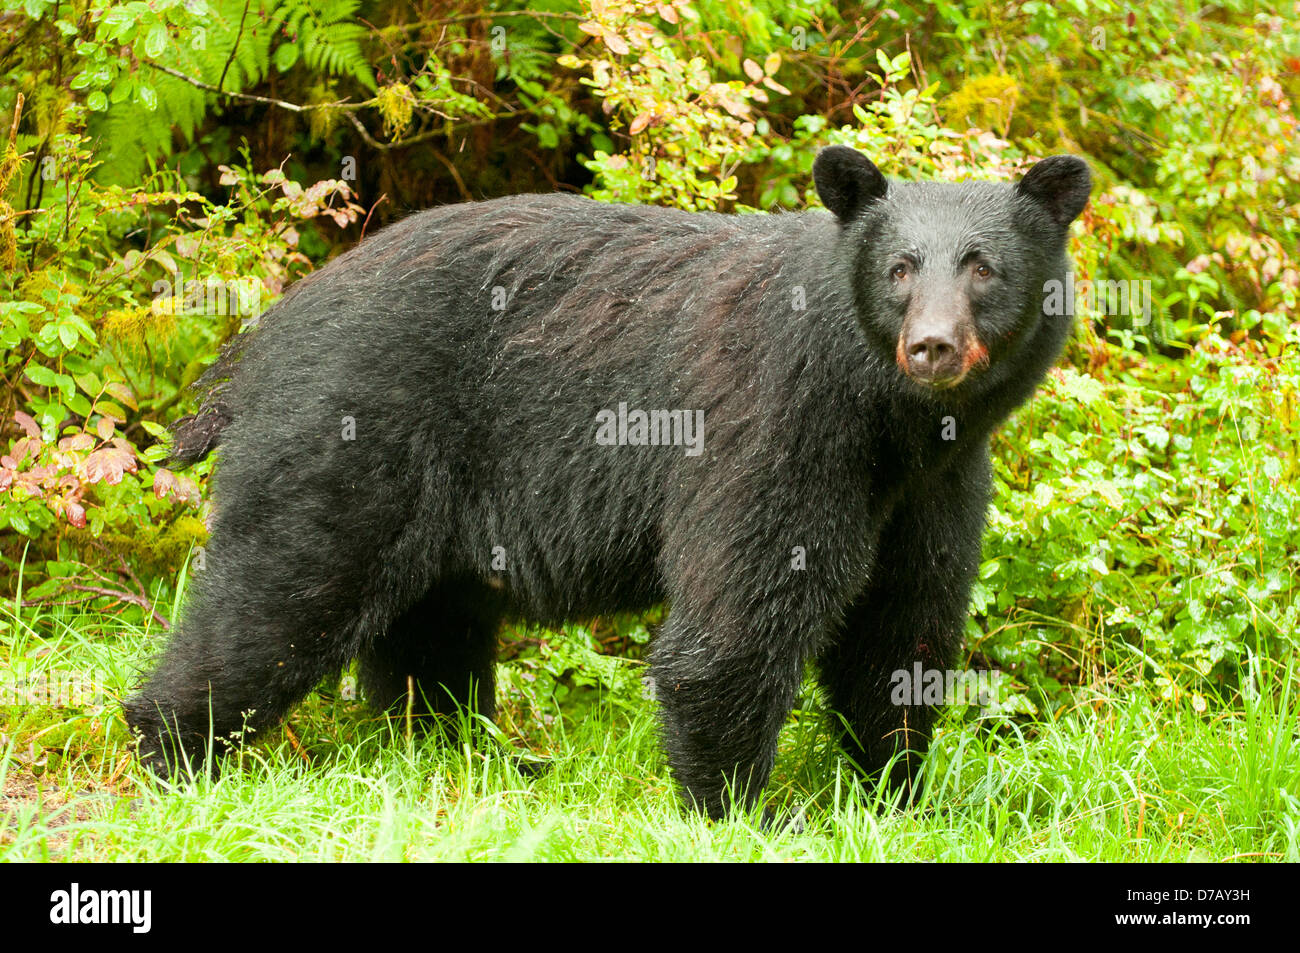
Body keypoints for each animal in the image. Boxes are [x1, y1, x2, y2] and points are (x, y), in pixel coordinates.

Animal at [126, 146, 1092, 816]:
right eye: (899, 270)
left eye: (982, 266)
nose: (931, 346)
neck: (892, 420)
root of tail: (257, 341)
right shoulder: (775, 428)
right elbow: (733, 624)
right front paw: (738, 811)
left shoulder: (938, 485)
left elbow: (902, 629)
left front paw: (896, 793)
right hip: (349, 437)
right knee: (277, 595)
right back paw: (174, 749)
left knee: (429, 630)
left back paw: (465, 752)